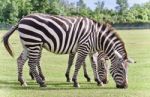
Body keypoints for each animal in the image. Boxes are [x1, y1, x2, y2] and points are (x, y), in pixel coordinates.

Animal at [2, 13, 132, 88]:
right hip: (34, 43)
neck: (97, 37)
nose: (125, 86)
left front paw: (97, 81)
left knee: (20, 60)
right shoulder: (83, 46)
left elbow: (92, 64)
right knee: (32, 62)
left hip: (28, 44)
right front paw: (75, 81)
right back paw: (41, 82)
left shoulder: (90, 50)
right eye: (121, 69)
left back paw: (22, 81)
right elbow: (78, 63)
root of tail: (22, 19)